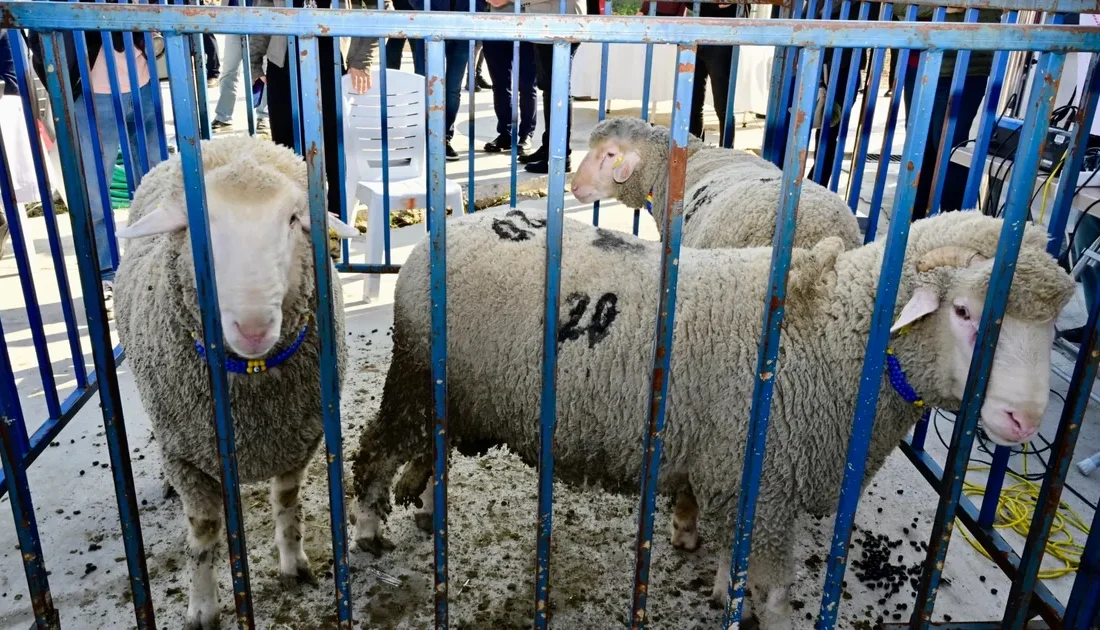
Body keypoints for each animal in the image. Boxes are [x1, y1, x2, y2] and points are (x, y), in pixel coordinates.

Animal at [114, 135, 360, 624]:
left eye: (292, 219)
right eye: (201, 225)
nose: (253, 327)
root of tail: (227, 137)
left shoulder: (298, 442)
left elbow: (287, 503)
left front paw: (293, 565)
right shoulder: (187, 459)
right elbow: (205, 534)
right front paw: (202, 607)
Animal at [349, 207, 1073, 628]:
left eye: (1052, 325)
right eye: (965, 312)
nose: (1025, 420)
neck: (834, 334)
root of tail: (435, 236)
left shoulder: (730, 470)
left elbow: (725, 547)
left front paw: (709, 565)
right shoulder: (766, 483)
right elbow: (774, 594)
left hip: (452, 392)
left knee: (430, 445)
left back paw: (426, 503)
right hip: (415, 375)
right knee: (376, 448)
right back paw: (367, 529)